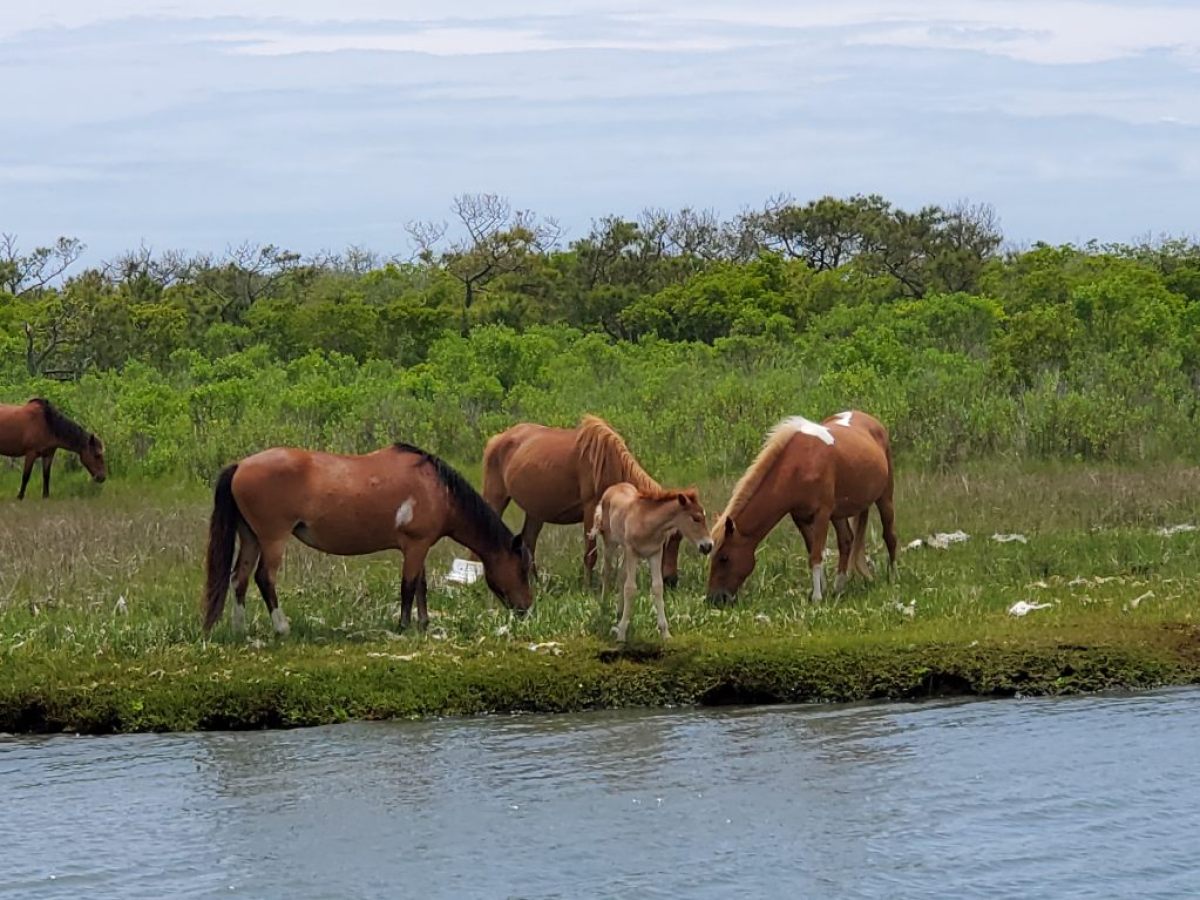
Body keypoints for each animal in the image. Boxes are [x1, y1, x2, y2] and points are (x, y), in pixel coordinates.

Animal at [202, 442, 534, 637]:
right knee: (264, 578)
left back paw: (240, 629)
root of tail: (240, 466)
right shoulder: (414, 546)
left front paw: (423, 624)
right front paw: (404, 626)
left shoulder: (420, 546)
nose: (526, 609)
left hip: (251, 537)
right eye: (522, 570)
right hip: (273, 539)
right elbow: (408, 587)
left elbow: (421, 586)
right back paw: (282, 628)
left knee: (239, 579)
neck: (437, 490)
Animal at [481, 415, 684, 586]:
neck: (609, 462)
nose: (671, 580)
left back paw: (535, 583)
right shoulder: (591, 509)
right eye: (668, 541)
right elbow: (590, 555)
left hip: (535, 512)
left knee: (529, 543)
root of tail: (496, 439)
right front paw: (587, 588)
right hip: (495, 499)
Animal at [589, 483, 713, 642]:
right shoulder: (633, 552)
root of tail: (613, 487)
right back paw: (604, 608)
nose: (708, 546)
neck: (648, 524)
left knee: (621, 576)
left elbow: (657, 587)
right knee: (607, 572)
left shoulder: (655, 554)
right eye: (696, 518)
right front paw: (621, 634)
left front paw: (665, 633)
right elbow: (630, 588)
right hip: (610, 543)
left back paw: (619, 612)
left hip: (625, 551)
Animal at [706, 410, 897, 606]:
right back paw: (839, 587)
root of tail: (870, 420)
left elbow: (816, 555)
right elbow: (813, 551)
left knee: (889, 536)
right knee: (846, 541)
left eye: (724, 558)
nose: (715, 598)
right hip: (839, 514)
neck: (800, 465)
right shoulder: (800, 518)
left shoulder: (822, 514)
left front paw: (817, 597)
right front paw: (823, 589)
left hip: (885, 498)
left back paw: (893, 577)